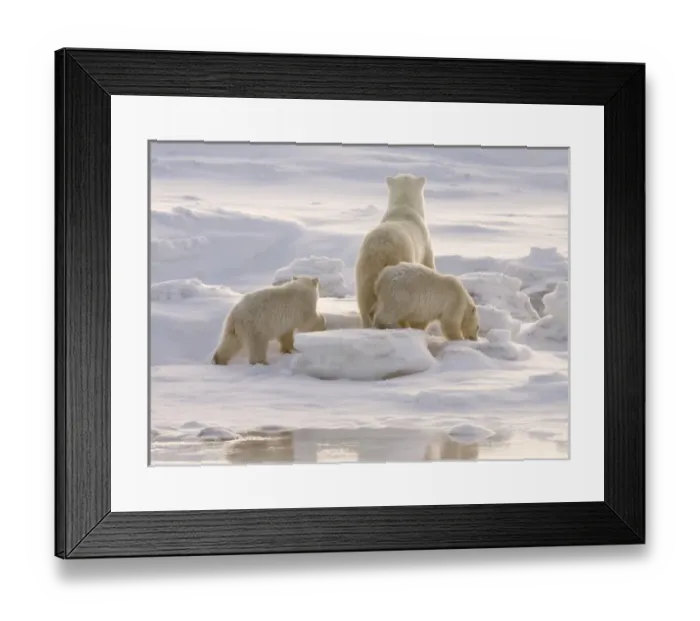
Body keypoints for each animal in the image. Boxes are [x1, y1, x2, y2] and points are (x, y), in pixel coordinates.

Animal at [354, 173, 435, 328]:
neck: (404, 207)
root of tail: (382, 250)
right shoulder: (425, 244)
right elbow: (428, 265)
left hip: (365, 267)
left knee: (365, 300)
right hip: (400, 261)